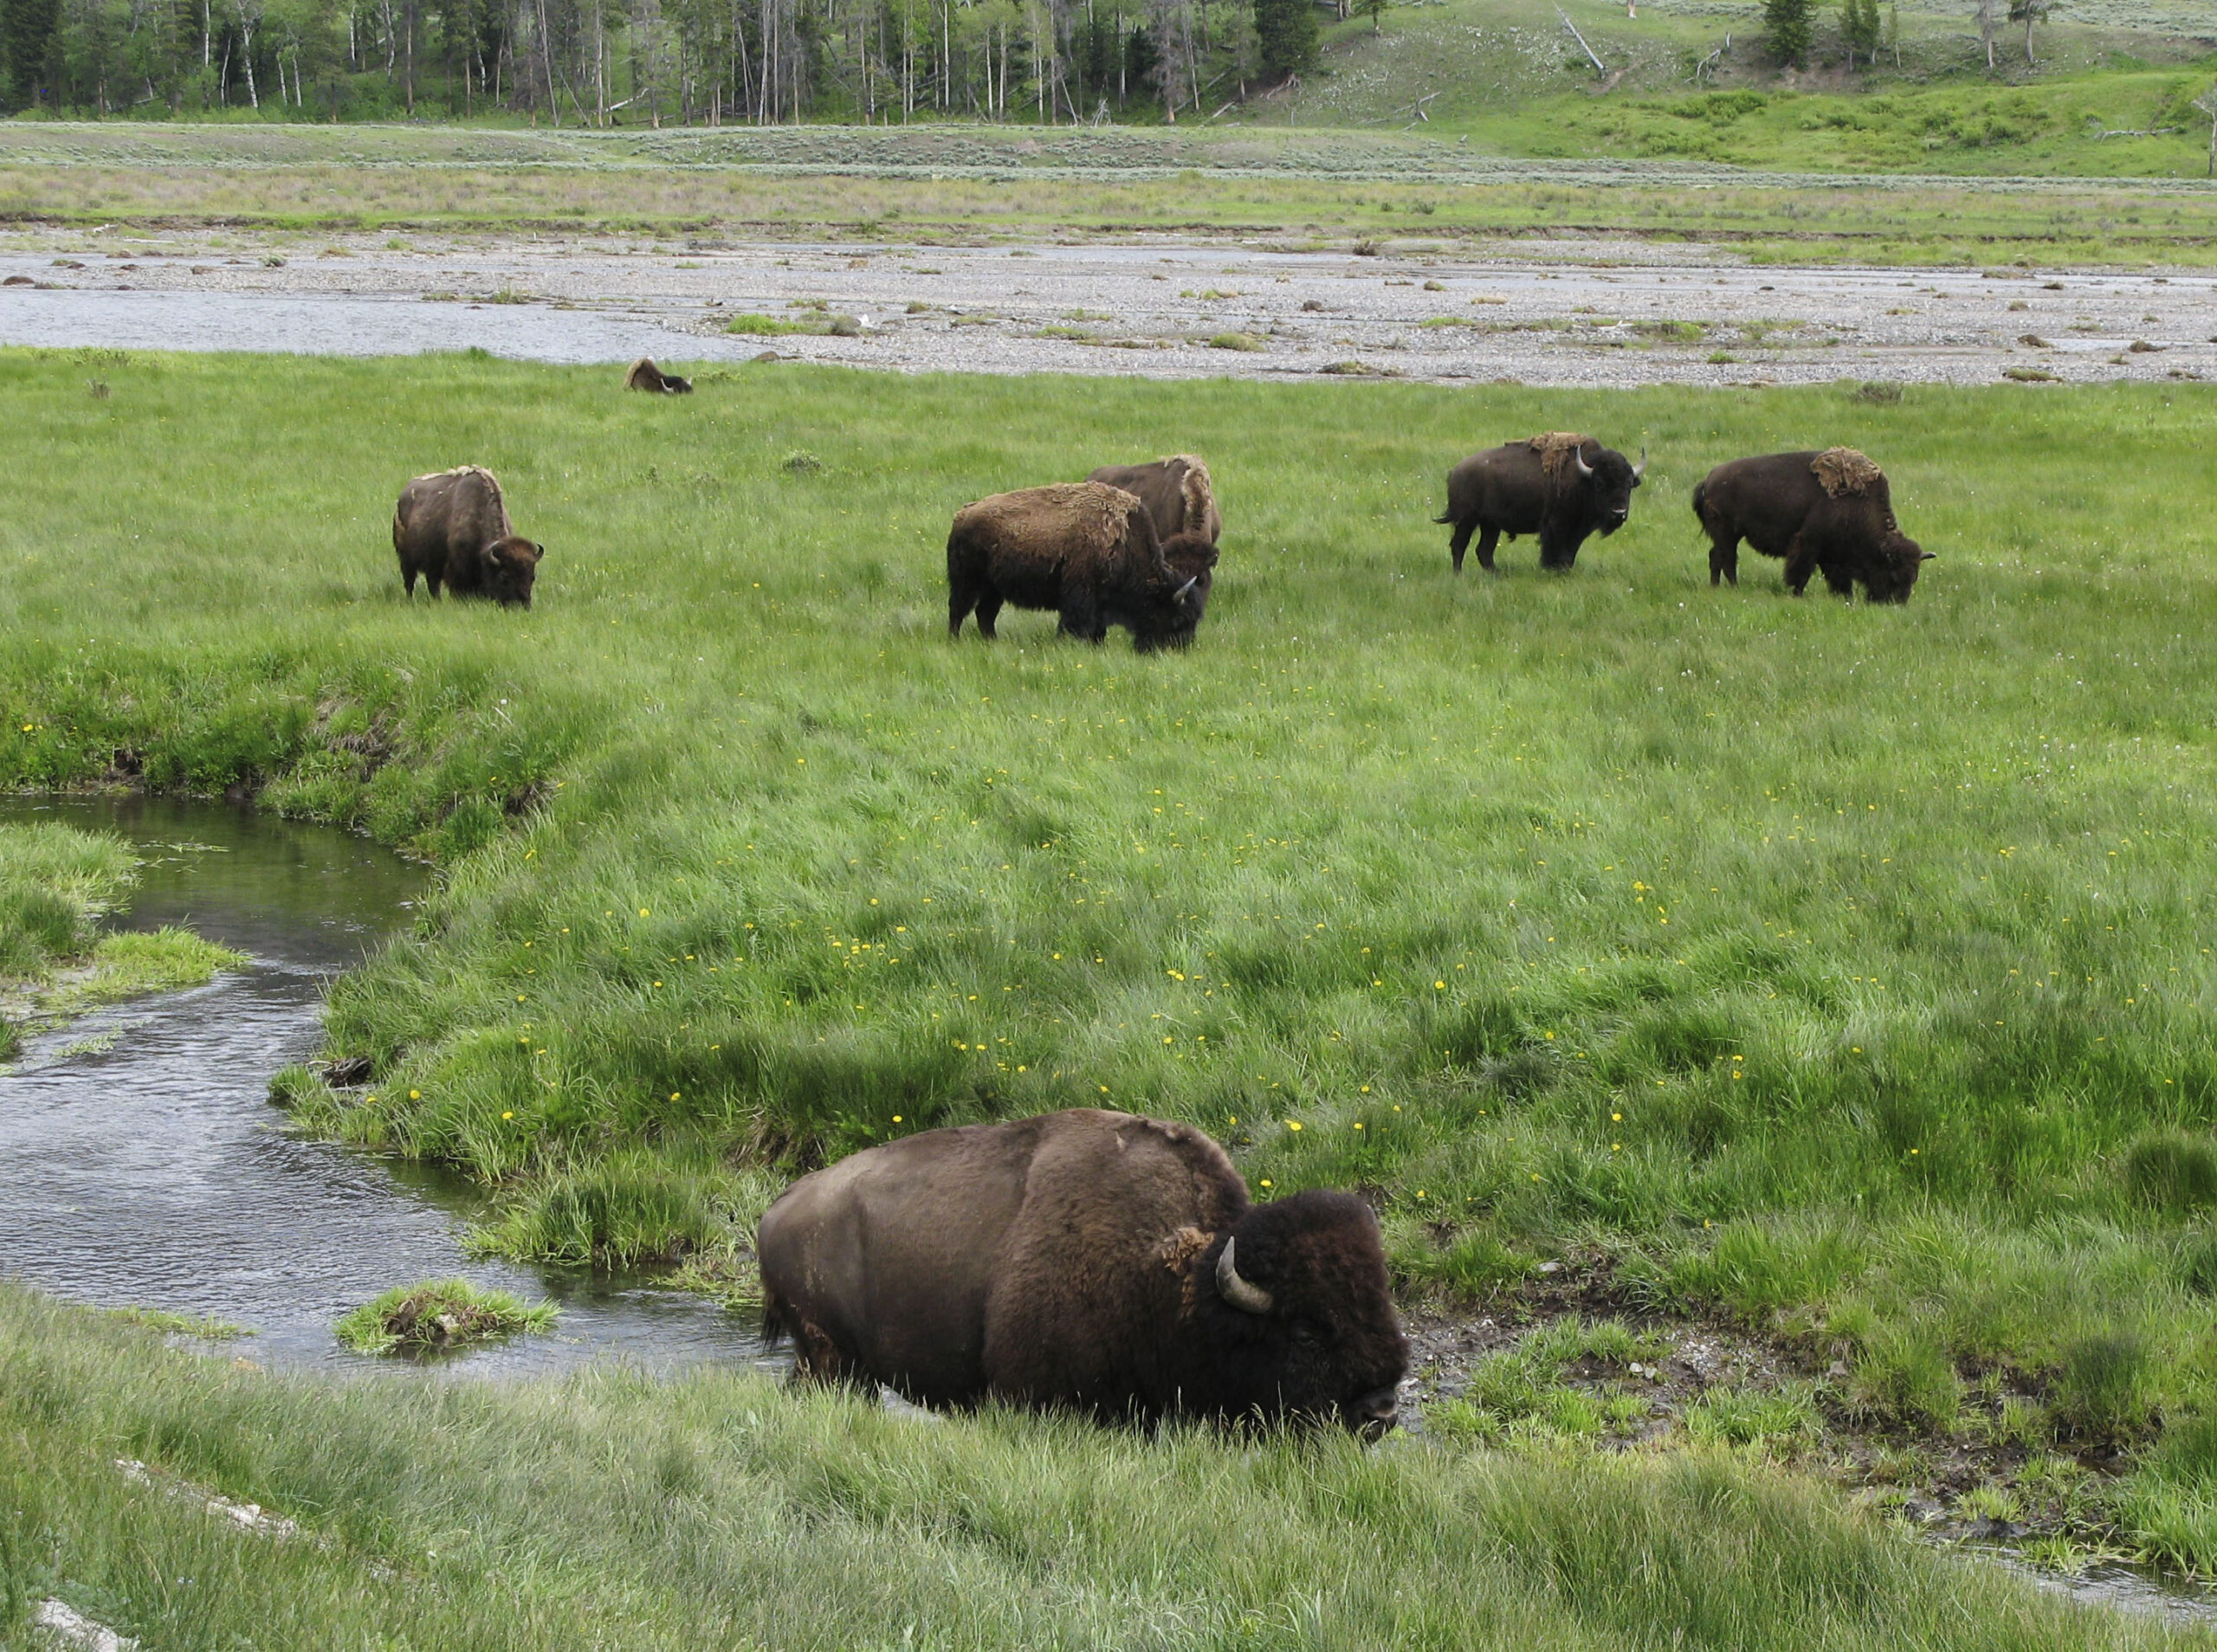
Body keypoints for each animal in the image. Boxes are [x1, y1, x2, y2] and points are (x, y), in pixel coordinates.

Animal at [392, 466, 543, 607]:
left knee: (433, 584)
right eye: (504, 576)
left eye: (532, 577)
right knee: (410, 582)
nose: (522, 605)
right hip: (406, 560)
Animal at [947, 481, 1217, 651]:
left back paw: (992, 642)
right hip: (967, 582)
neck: (1124, 541)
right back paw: (955, 640)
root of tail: (963, 515)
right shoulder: (1081, 597)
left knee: (985, 614)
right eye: (1177, 620)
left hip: (995, 590)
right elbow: (1076, 624)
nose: (1179, 649)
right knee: (959, 610)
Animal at [1437, 432, 1644, 573]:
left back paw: (1496, 574)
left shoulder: (1578, 531)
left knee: (1484, 551)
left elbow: (1570, 553)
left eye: (1629, 485)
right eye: (1600, 484)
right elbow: (1558, 551)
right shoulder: (1557, 525)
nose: (1619, 513)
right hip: (1467, 521)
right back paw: (1459, 575)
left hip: (1490, 525)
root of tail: (1455, 471)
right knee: (1459, 546)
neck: (1583, 478)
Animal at [1693, 448, 1931, 603]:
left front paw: (1845, 597)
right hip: (1727, 534)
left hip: (1728, 536)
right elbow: (1801, 573)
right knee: (1727, 559)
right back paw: (1732, 587)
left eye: (1914, 577)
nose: (1897, 603)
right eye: (1894, 575)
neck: (1858, 505)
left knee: (1717, 557)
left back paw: (1716, 587)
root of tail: (1709, 479)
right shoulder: (1808, 544)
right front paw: (1797, 595)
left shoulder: (1833, 555)